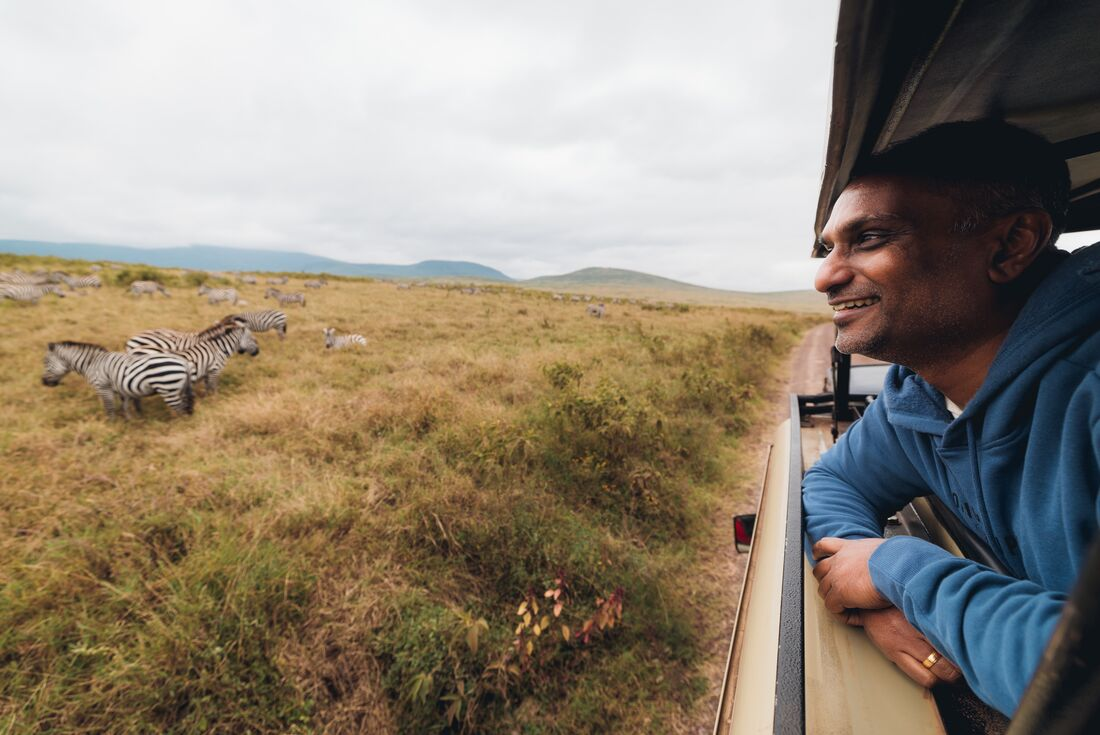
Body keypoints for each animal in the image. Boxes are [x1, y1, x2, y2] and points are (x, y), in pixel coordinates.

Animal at [42, 341, 193, 419]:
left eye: (46, 362)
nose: (43, 383)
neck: (92, 364)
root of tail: (183, 362)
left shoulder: (103, 388)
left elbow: (109, 408)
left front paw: (111, 426)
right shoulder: (122, 389)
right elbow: (124, 407)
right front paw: (131, 421)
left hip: (168, 389)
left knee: (181, 410)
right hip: (179, 389)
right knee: (185, 406)